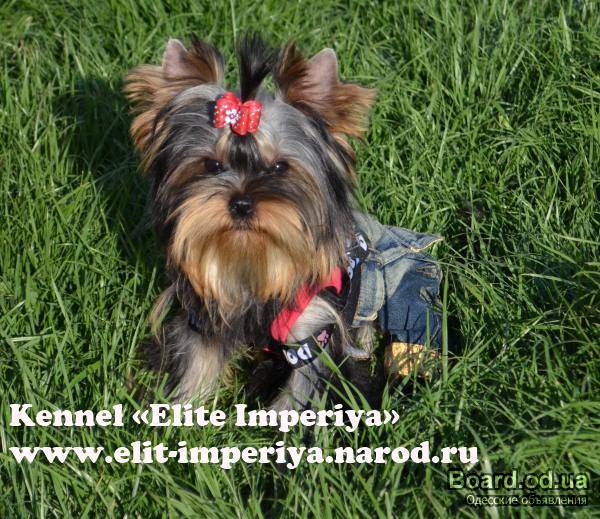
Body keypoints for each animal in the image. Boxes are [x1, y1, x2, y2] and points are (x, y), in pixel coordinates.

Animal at [124, 35, 442, 411]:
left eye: (279, 167)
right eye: (212, 165)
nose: (241, 203)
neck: (250, 257)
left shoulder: (314, 332)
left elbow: (303, 390)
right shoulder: (205, 318)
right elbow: (195, 368)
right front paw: (179, 413)